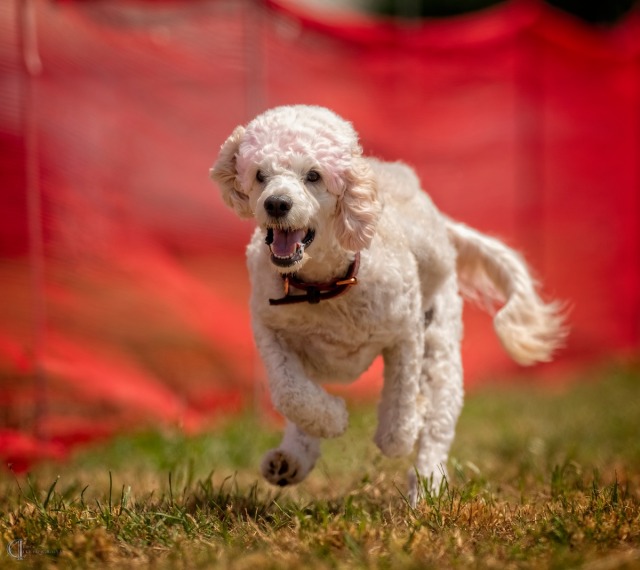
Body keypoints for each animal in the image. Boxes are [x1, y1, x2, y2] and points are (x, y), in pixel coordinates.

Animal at [210, 105, 564, 502]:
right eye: (260, 174)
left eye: (313, 175)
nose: (276, 203)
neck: (323, 286)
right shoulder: (269, 329)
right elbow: (290, 393)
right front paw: (332, 419)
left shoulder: (406, 332)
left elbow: (402, 397)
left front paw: (398, 435)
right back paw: (292, 459)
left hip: (440, 351)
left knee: (436, 428)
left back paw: (427, 487)